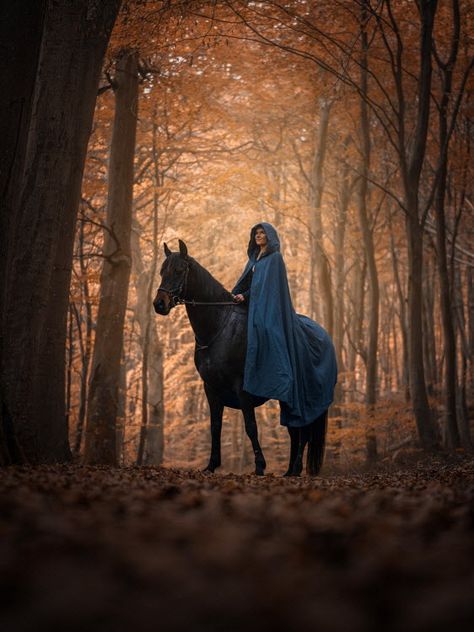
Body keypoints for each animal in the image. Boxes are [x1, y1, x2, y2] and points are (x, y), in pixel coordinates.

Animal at [154, 239, 328, 476]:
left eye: (180, 270)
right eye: (162, 271)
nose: (159, 304)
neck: (219, 327)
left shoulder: (242, 387)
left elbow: (251, 426)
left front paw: (260, 466)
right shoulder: (211, 387)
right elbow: (215, 426)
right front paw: (211, 465)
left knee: (304, 431)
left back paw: (295, 469)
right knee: (295, 431)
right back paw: (290, 471)